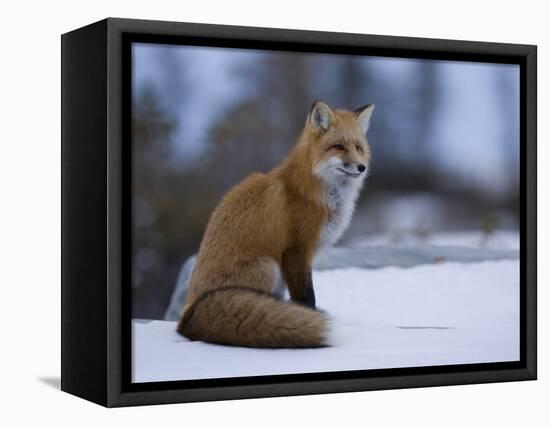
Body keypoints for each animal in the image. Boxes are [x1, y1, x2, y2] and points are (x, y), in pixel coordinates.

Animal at [178, 101, 376, 348]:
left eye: (358, 147)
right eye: (338, 147)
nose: (361, 167)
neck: (313, 192)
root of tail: (187, 315)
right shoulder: (296, 250)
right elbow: (305, 296)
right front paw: (308, 318)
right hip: (268, 267)